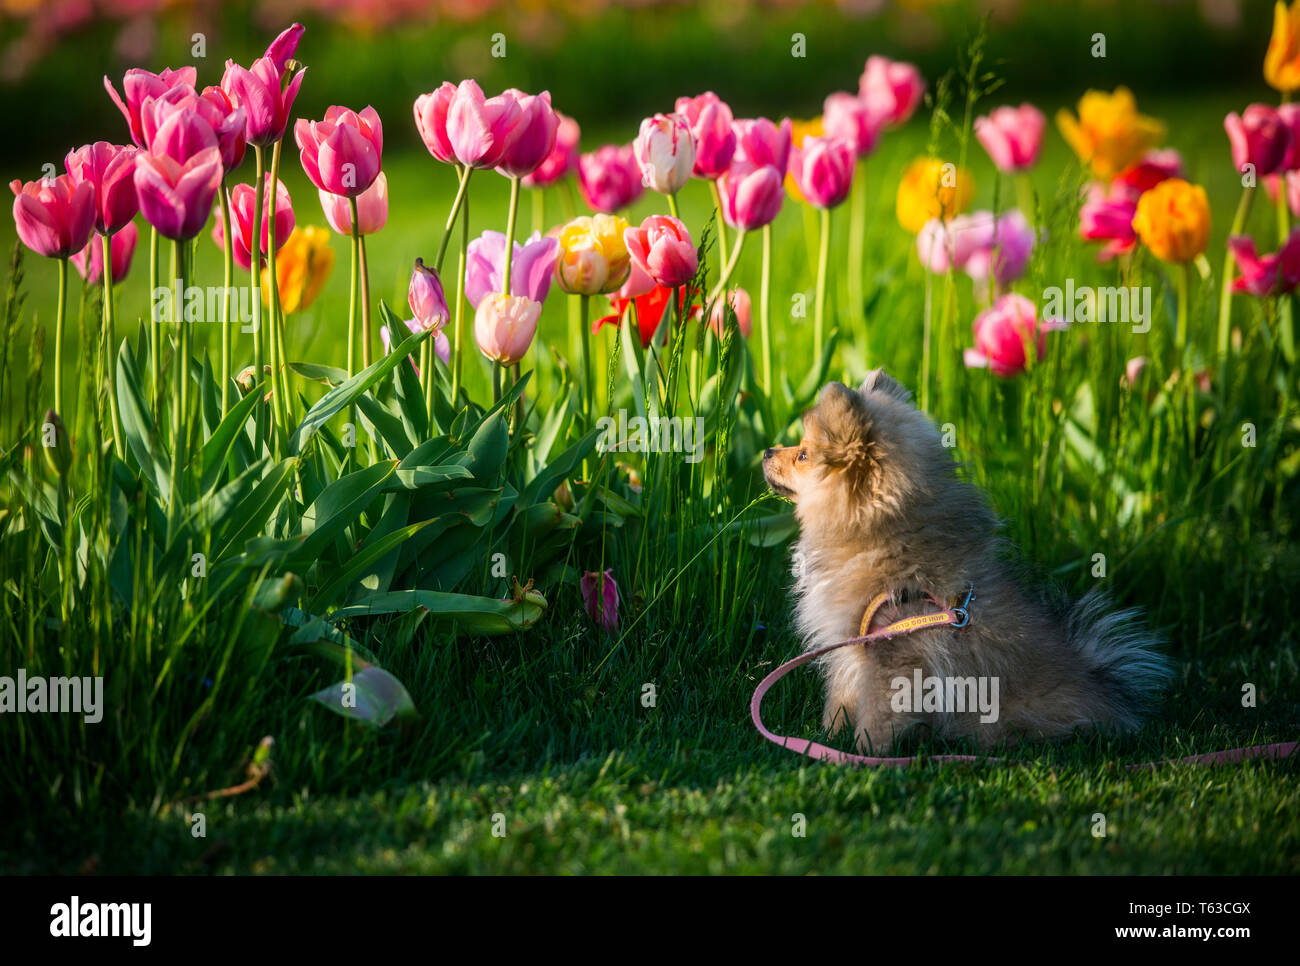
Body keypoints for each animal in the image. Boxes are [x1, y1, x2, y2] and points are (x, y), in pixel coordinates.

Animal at [759, 371, 1175, 754]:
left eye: (803, 454)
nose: (766, 451)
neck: (882, 536)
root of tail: (1110, 693)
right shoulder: (851, 652)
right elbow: (838, 703)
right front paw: (824, 742)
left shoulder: (896, 660)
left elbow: (876, 721)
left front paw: (859, 757)